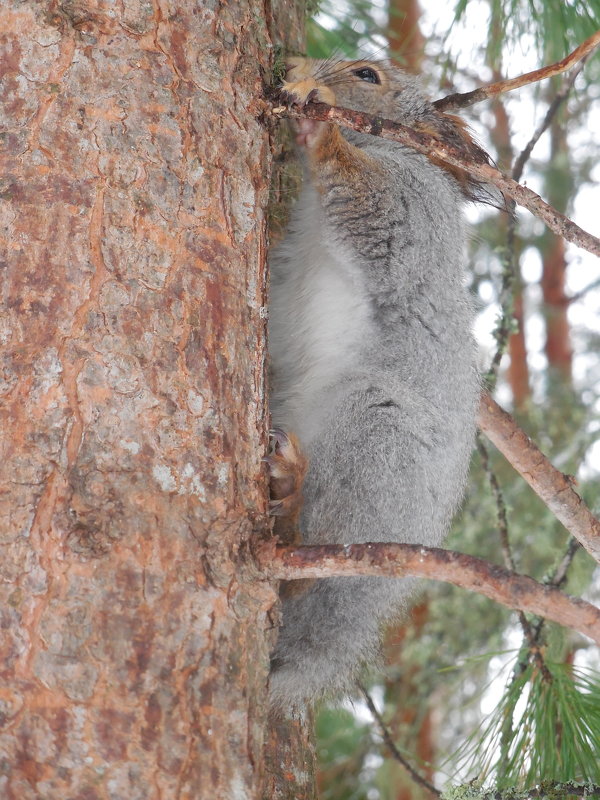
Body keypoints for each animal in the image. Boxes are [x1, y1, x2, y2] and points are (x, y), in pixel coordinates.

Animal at [270, 56, 494, 708]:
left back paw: (290, 505)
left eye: (367, 74)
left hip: (373, 435)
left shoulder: (412, 207)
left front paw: (318, 122)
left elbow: (373, 208)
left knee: (310, 568)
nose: (294, 65)